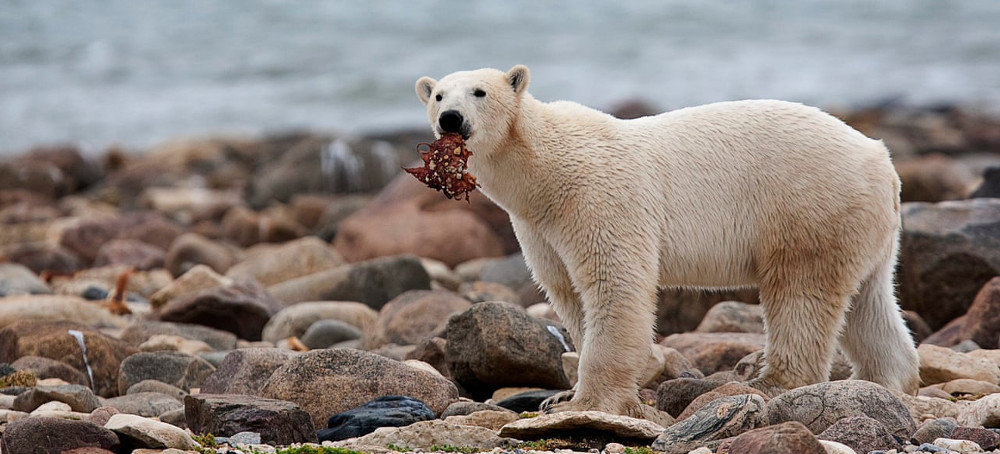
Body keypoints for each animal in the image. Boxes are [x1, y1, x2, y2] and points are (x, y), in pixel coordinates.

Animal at [414, 64, 920, 418]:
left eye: (479, 91)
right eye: (438, 94)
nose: (451, 118)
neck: (544, 171)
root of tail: (881, 159)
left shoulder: (598, 197)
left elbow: (614, 283)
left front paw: (587, 401)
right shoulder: (538, 226)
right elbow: (567, 292)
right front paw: (559, 398)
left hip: (808, 206)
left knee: (800, 294)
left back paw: (769, 382)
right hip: (862, 225)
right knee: (869, 302)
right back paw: (887, 382)